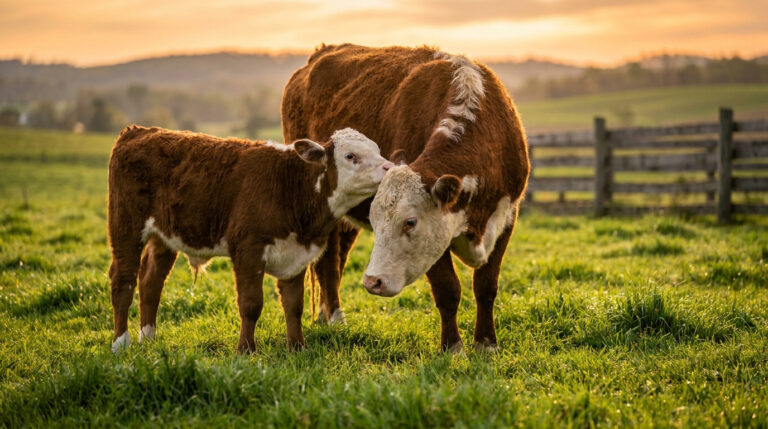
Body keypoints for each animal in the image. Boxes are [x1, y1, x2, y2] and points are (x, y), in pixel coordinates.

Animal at [107, 125, 393, 354]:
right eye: (350, 156)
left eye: (377, 150)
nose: (389, 167)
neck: (291, 186)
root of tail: (138, 131)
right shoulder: (248, 249)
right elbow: (251, 304)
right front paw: (245, 350)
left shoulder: (296, 256)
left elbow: (294, 305)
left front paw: (297, 347)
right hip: (125, 226)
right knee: (123, 281)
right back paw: (121, 343)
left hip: (164, 238)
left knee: (150, 282)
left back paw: (149, 337)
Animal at [281, 44, 529, 352]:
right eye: (376, 223)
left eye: (410, 222)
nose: (373, 281)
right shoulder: (437, 240)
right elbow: (447, 289)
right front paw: (453, 347)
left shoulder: (506, 217)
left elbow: (486, 286)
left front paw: (486, 344)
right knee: (327, 264)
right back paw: (336, 319)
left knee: (336, 259)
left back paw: (325, 315)